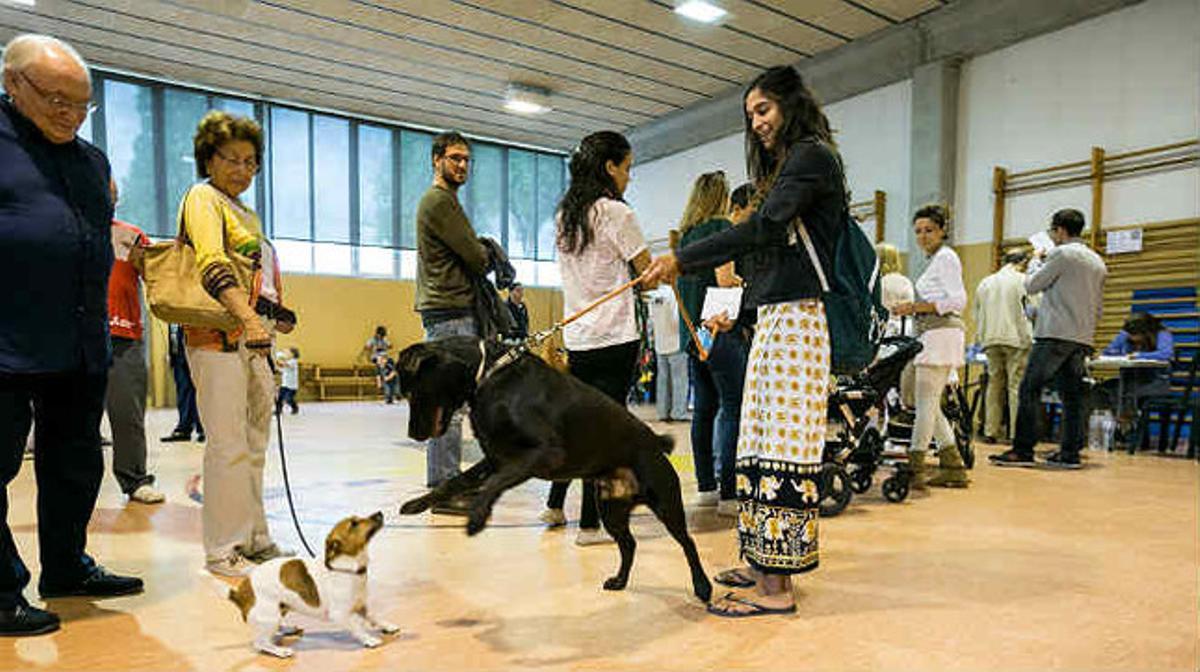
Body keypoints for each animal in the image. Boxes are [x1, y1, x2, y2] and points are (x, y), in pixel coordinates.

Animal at [223, 511, 396, 657]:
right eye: (354, 523)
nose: (379, 513)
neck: (348, 568)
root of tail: (239, 593)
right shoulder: (339, 614)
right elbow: (357, 627)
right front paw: (369, 639)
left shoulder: (362, 605)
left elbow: (374, 616)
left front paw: (387, 626)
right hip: (270, 616)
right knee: (260, 643)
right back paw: (280, 651)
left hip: (279, 610)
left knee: (273, 630)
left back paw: (287, 629)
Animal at [393, 336, 710, 604]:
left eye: (412, 392)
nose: (411, 434)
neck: (489, 376)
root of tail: (655, 443)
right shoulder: (496, 459)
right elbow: (455, 482)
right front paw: (417, 504)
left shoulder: (543, 454)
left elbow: (494, 484)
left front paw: (477, 516)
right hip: (611, 509)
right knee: (629, 544)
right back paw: (620, 581)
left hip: (666, 505)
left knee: (688, 542)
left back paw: (702, 586)